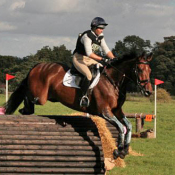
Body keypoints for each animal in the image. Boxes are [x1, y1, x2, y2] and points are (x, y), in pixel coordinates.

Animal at [5, 51, 153, 159]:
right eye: (140, 69)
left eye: (150, 70)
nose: (148, 91)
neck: (113, 82)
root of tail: (36, 66)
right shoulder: (104, 112)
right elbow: (121, 128)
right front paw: (118, 151)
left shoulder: (117, 110)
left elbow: (128, 125)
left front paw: (125, 149)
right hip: (40, 97)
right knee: (27, 94)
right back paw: (25, 109)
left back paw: (26, 110)